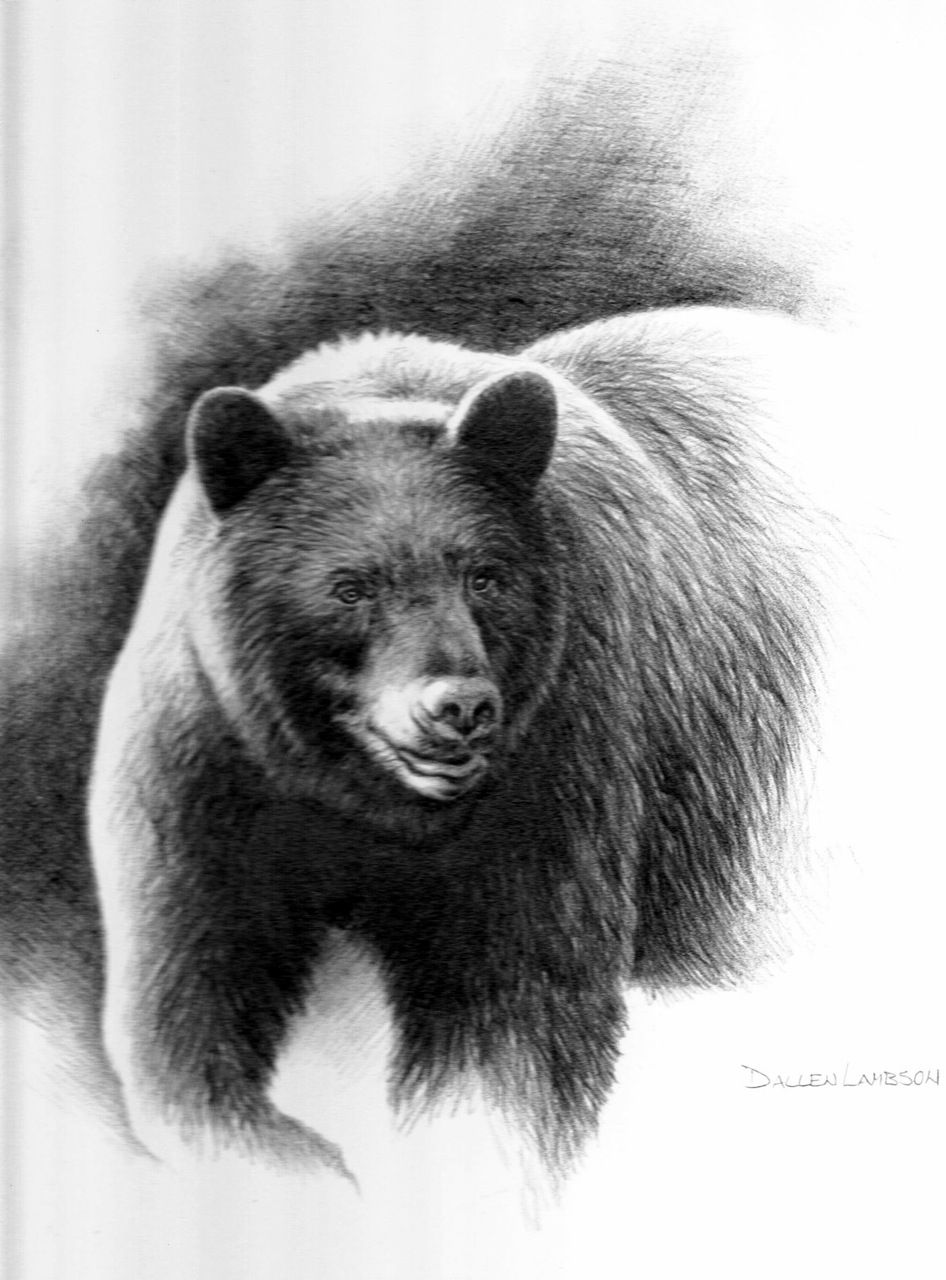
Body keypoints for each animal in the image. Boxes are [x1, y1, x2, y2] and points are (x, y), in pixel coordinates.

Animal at [87, 307, 825, 1175]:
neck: (364, 803)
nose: (460, 707)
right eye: (350, 586)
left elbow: (516, 1009)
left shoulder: (559, 749)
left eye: (485, 576)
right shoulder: (207, 767)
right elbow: (190, 1006)